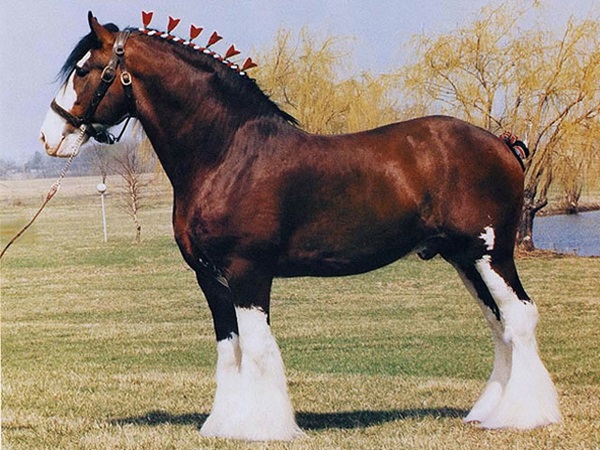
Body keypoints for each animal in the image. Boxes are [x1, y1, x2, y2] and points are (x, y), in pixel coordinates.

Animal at [39, 13, 560, 440]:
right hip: (464, 259)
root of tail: (501, 142)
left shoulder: (248, 272)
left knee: (519, 317)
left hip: (491, 253)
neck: (227, 152)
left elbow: (257, 348)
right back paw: (490, 413)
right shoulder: (210, 278)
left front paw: (262, 428)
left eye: (85, 69)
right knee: (499, 325)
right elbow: (229, 349)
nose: (49, 138)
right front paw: (225, 425)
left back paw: (526, 416)